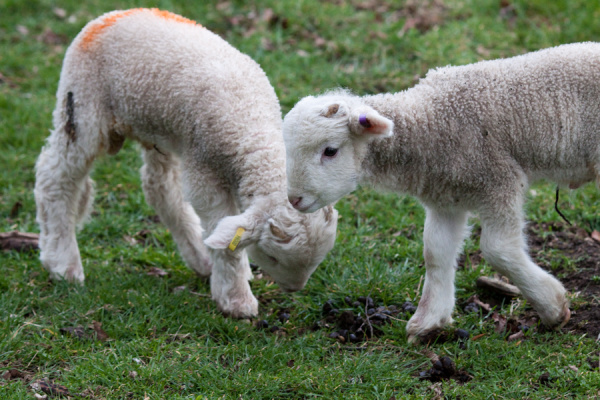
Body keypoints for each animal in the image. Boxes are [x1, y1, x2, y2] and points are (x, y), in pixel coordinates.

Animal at [34, 7, 338, 318]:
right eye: (272, 257)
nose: (294, 289)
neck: (252, 129)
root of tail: (114, 14)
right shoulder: (205, 169)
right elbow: (226, 241)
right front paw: (236, 300)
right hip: (81, 106)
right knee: (55, 177)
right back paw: (63, 263)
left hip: (160, 128)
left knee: (159, 187)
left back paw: (200, 258)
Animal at [284, 41, 600, 340]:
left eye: (330, 151)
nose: (294, 199)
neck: (431, 121)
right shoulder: (447, 197)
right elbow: (436, 252)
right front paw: (429, 322)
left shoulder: (497, 180)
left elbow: (499, 249)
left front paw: (553, 307)